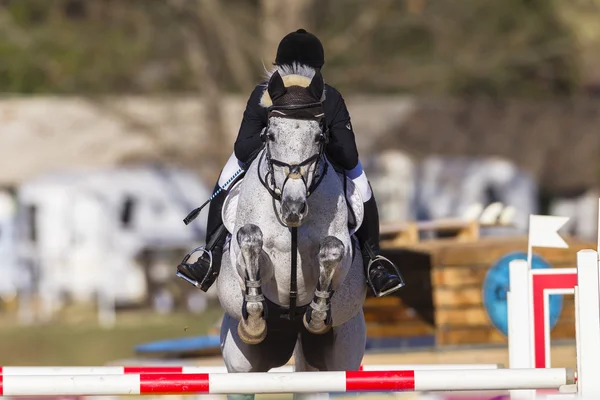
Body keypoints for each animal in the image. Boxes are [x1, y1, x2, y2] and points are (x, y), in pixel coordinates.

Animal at [216, 64, 366, 398]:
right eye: (270, 134)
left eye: (319, 136)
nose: (293, 208)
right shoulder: (244, 249)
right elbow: (250, 239)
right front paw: (255, 315)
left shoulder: (342, 250)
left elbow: (333, 249)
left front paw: (318, 313)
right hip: (240, 363)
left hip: (338, 360)